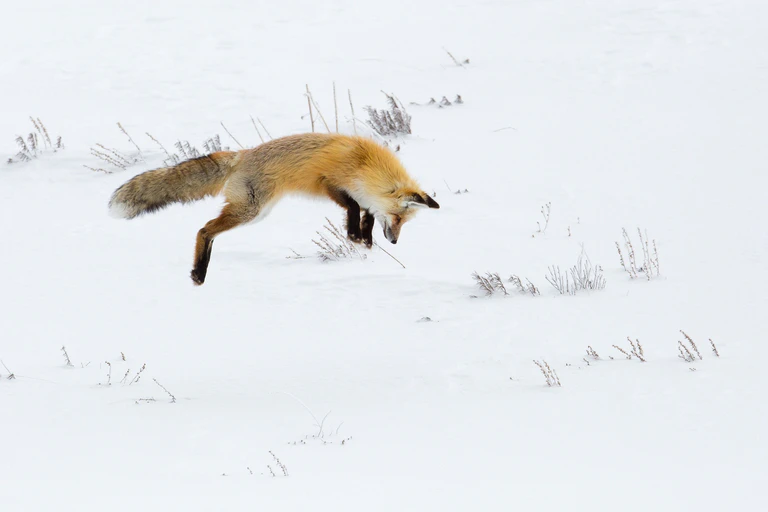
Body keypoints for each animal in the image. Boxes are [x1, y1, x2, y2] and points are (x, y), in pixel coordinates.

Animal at [109, 133, 440, 285]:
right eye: (399, 217)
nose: (394, 241)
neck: (365, 165)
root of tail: (242, 155)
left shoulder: (364, 199)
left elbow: (366, 217)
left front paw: (364, 241)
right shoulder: (329, 182)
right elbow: (352, 207)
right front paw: (355, 236)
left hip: (254, 212)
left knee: (210, 232)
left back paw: (200, 270)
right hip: (251, 210)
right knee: (204, 230)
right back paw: (199, 272)